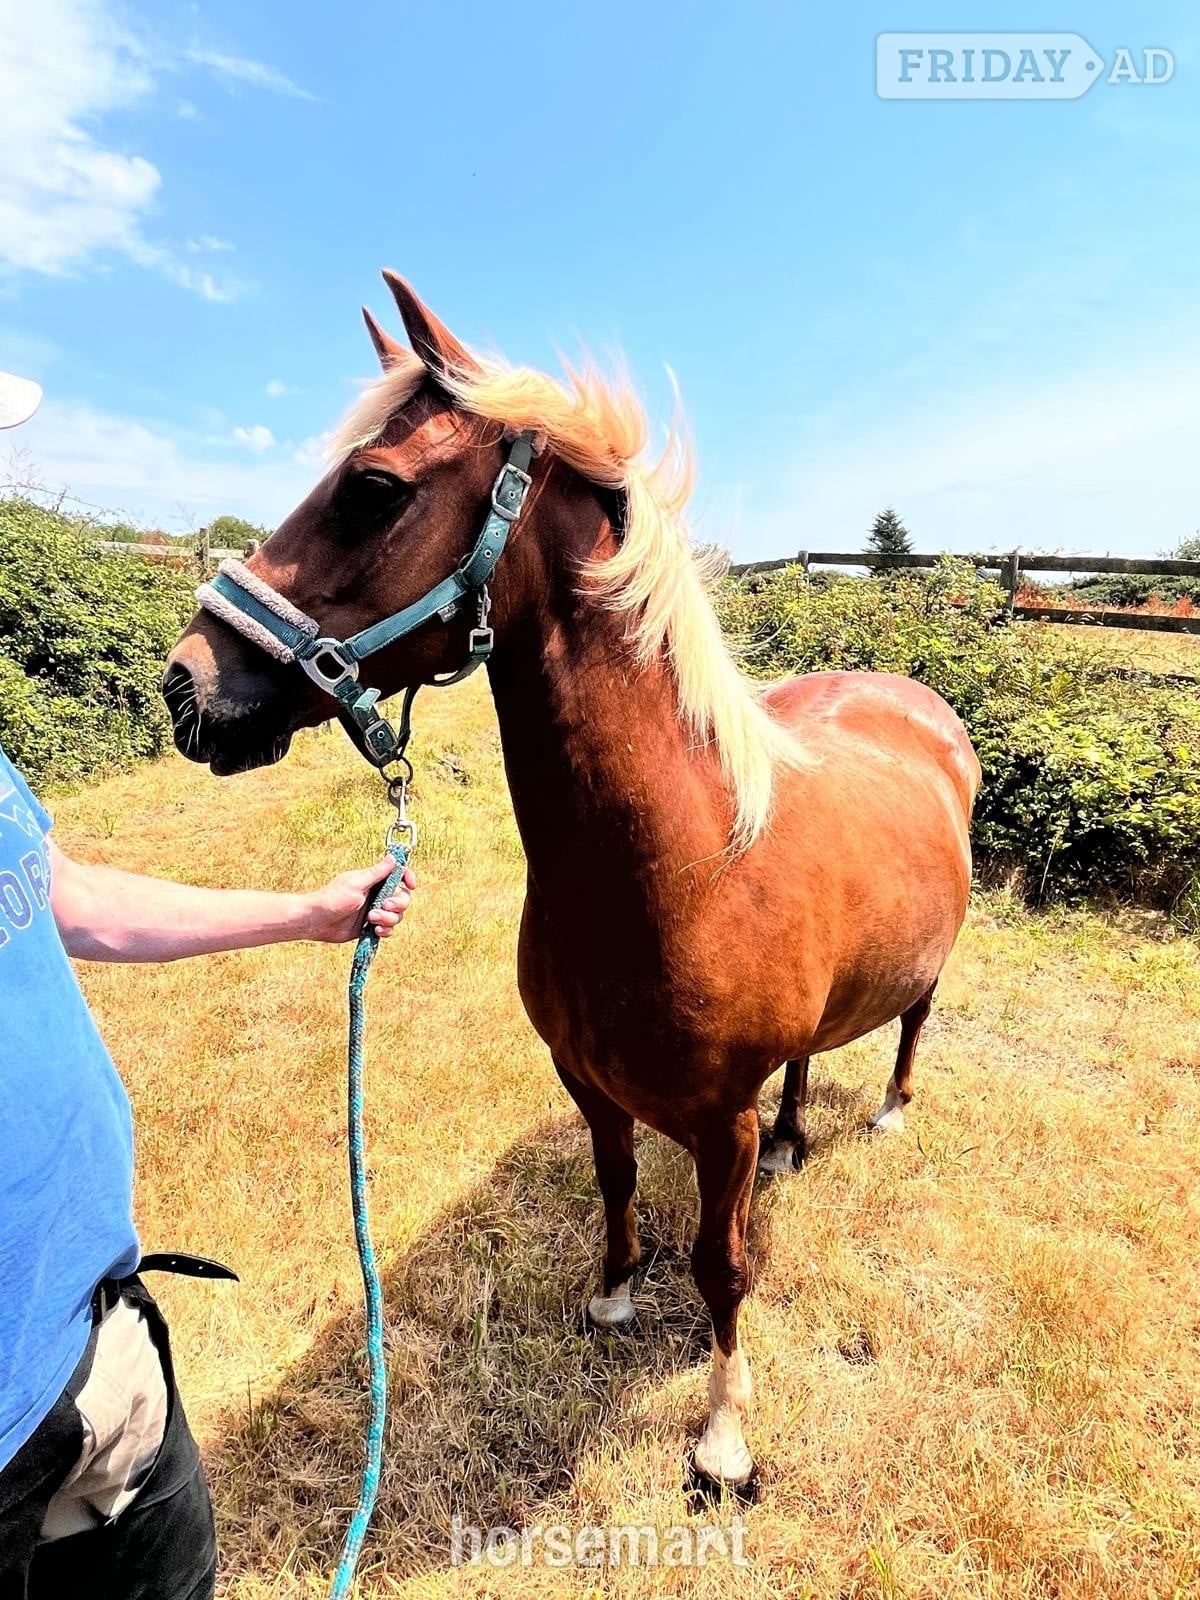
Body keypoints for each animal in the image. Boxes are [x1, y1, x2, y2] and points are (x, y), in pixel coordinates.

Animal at [163, 273, 980, 1492]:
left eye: (371, 488)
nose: (186, 686)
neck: (682, 873)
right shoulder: (587, 1081)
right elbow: (616, 1184)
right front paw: (611, 1301)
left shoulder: (721, 1126)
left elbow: (723, 1266)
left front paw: (724, 1435)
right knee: (801, 1071)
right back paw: (801, 1139)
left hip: (924, 973)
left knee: (913, 1021)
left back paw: (887, 1111)